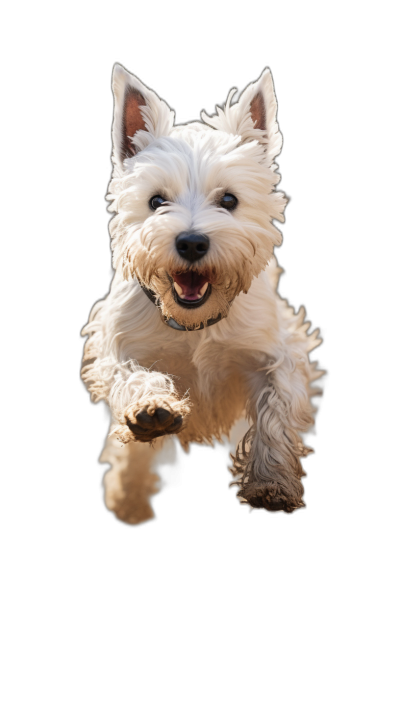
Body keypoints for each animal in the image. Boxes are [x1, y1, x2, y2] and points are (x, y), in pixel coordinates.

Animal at [81, 64, 324, 524]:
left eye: (228, 199)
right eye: (156, 201)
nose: (192, 243)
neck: (195, 324)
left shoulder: (276, 350)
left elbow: (275, 410)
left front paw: (271, 484)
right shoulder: (117, 343)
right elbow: (131, 375)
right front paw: (151, 410)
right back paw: (128, 498)